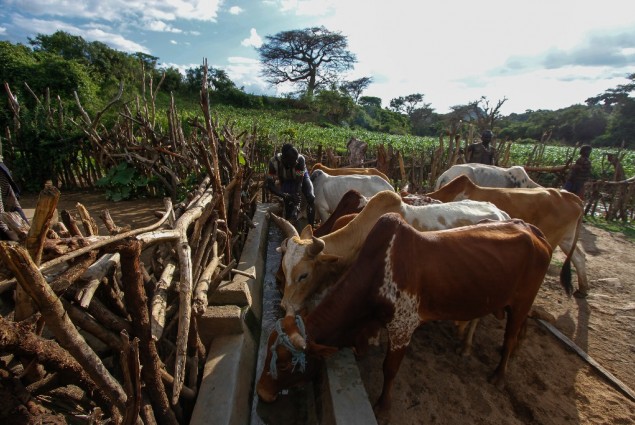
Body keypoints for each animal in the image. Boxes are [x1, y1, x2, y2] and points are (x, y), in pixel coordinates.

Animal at [258, 214, 556, 412]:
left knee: (510, 336)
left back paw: (500, 374)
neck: (377, 273)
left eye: (283, 364)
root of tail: (533, 230)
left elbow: (389, 369)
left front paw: (383, 406)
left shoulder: (403, 326)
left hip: (522, 302)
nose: (261, 392)